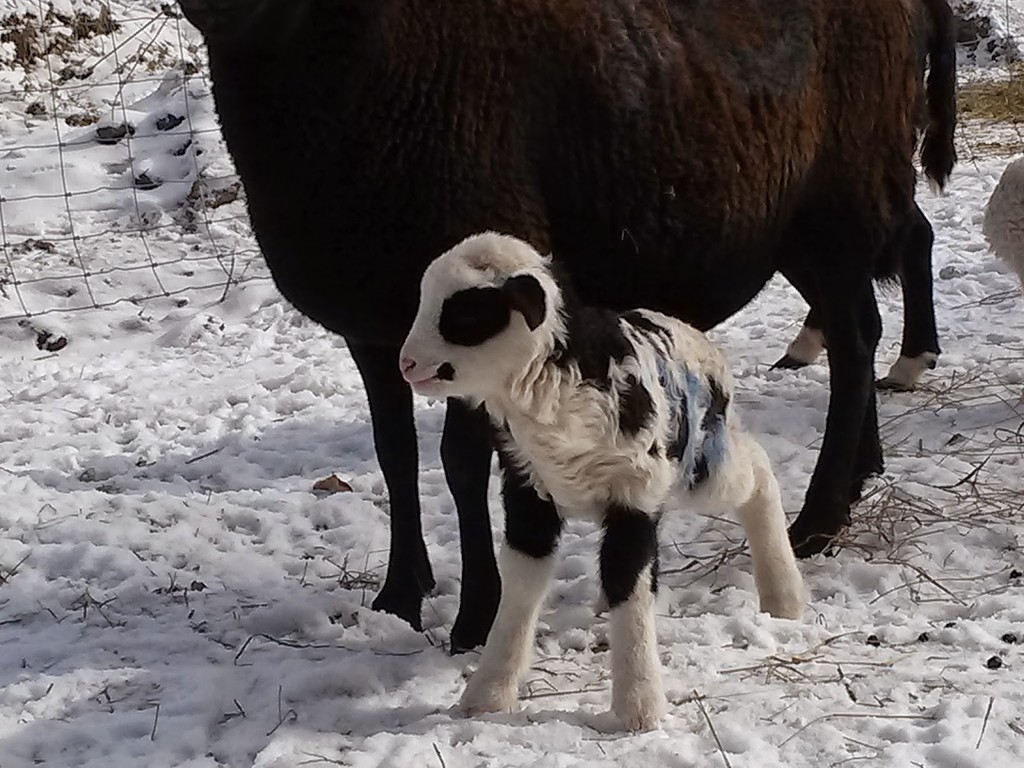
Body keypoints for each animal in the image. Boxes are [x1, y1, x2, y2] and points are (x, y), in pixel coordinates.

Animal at [177, 0, 957, 651]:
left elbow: (463, 464)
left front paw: (476, 617)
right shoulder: (377, 331)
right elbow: (395, 455)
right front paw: (400, 595)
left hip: (843, 194)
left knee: (855, 341)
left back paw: (820, 516)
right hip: (798, 223)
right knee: (860, 322)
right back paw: (860, 472)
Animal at [400, 232, 805, 730]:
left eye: (465, 314)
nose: (406, 364)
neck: (554, 384)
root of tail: (695, 337)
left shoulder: (634, 493)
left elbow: (627, 583)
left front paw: (639, 709)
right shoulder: (529, 492)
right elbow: (521, 589)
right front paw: (487, 695)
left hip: (702, 466)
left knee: (758, 473)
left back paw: (784, 596)